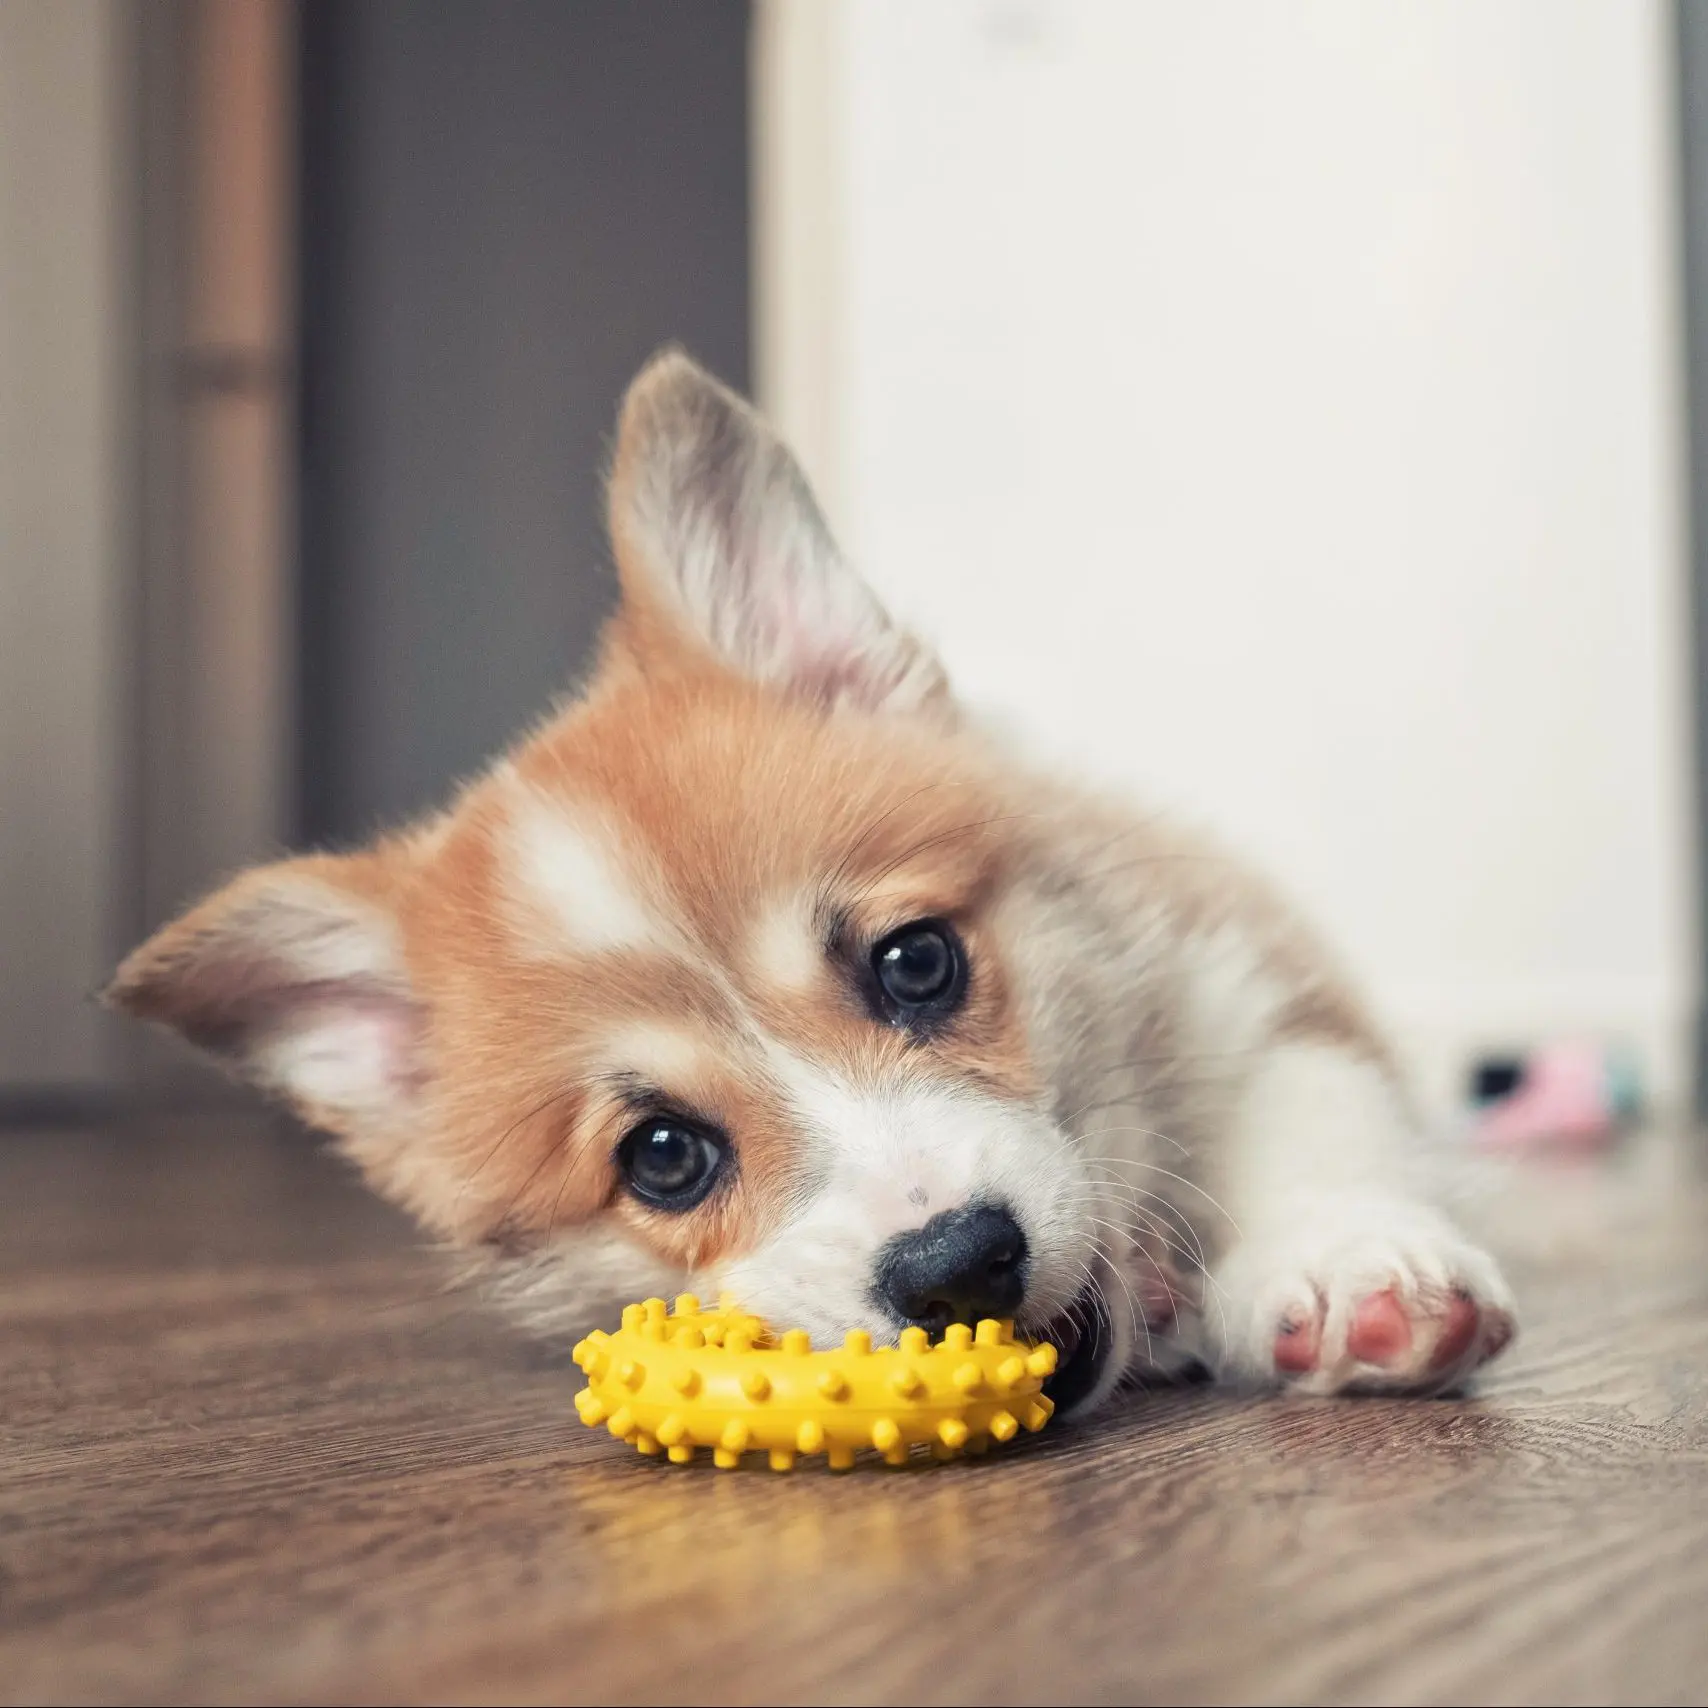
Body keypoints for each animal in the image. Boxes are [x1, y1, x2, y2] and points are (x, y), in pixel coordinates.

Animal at [110, 350, 1509, 1414]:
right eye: (665, 1156)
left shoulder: (1237, 977)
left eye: (917, 960)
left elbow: (1310, 1111)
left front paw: (1354, 1271)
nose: (959, 1262)